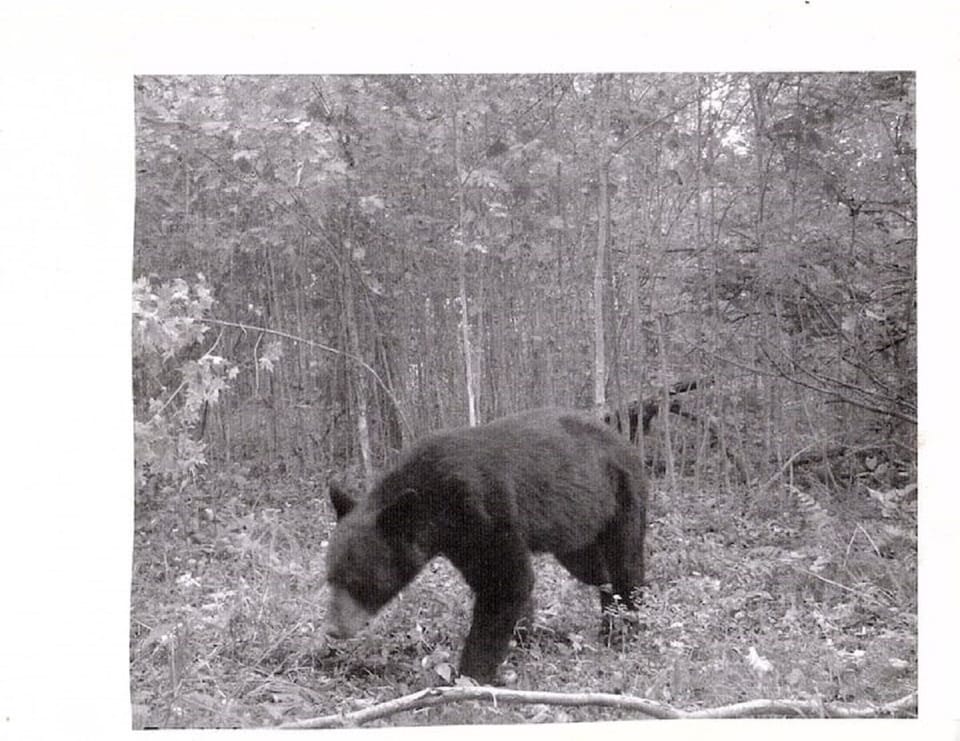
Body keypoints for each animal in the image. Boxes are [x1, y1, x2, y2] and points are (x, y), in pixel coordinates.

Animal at [323, 408, 647, 684]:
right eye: (330, 578)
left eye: (358, 581)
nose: (333, 630)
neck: (437, 506)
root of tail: (623, 440)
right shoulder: (460, 541)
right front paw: (521, 639)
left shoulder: (484, 512)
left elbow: (506, 582)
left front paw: (469, 677)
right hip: (577, 524)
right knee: (595, 570)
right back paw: (609, 617)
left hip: (623, 495)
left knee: (625, 564)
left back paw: (627, 628)